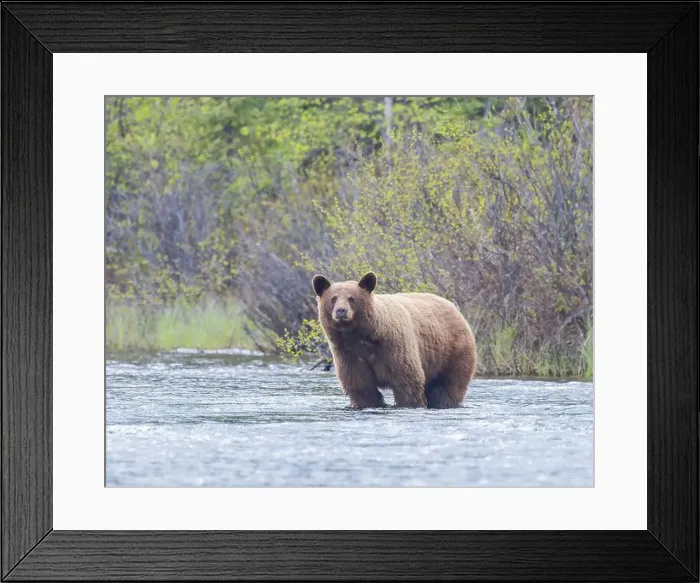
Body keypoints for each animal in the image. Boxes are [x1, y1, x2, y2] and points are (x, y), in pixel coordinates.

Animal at [312, 271, 477, 409]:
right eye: (333, 299)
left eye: (351, 299)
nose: (341, 311)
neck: (362, 336)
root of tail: (453, 307)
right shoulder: (349, 354)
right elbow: (360, 385)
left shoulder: (394, 347)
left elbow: (407, 380)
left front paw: (410, 404)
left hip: (452, 350)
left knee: (449, 384)